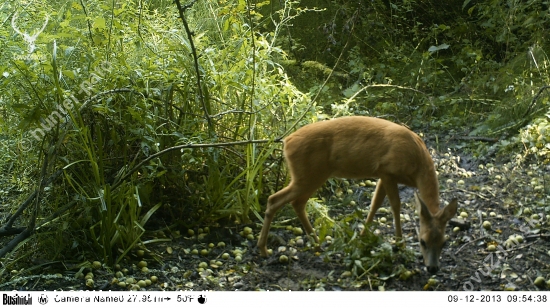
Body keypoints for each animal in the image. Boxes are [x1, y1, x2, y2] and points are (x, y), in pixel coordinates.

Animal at [260, 116, 462, 274]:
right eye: (422, 241)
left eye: (444, 242)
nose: (432, 268)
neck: (417, 166)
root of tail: (287, 141)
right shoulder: (388, 170)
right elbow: (395, 205)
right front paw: (399, 243)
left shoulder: (382, 175)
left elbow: (375, 203)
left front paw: (363, 236)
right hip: (308, 175)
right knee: (275, 199)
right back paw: (264, 249)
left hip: (310, 176)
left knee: (296, 203)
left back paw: (315, 242)